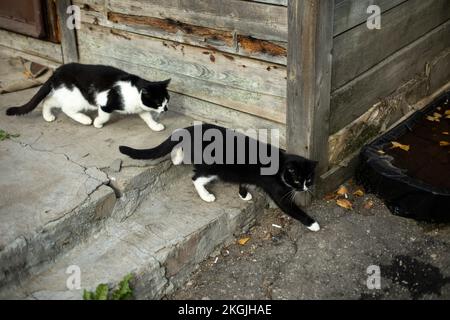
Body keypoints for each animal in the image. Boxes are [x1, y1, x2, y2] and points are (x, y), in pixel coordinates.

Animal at [5, 63, 171, 131]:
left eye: (167, 100)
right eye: (158, 102)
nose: (166, 110)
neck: (135, 92)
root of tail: (56, 72)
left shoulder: (140, 108)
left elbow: (147, 116)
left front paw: (155, 126)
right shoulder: (105, 103)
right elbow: (104, 116)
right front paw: (98, 123)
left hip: (66, 93)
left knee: (48, 100)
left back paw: (48, 116)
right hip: (79, 98)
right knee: (66, 108)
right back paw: (85, 120)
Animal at [119, 124, 322, 231]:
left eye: (309, 180)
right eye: (298, 180)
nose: (305, 188)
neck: (280, 165)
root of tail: (193, 128)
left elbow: (243, 180)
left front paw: (243, 194)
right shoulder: (278, 192)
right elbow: (291, 208)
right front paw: (312, 223)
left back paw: (177, 157)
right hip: (212, 167)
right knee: (196, 178)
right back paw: (206, 196)